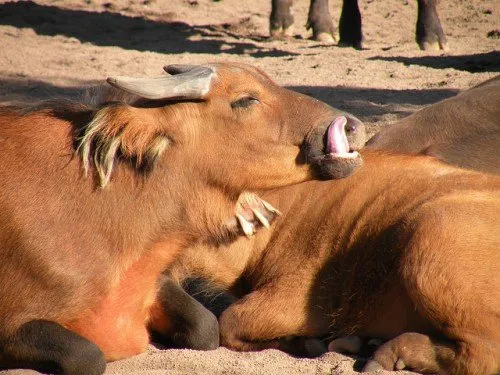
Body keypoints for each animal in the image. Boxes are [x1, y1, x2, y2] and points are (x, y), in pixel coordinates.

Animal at [0, 63, 364, 374]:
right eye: (246, 99)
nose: (352, 126)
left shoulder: (155, 286)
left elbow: (206, 327)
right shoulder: (12, 327)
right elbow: (88, 356)